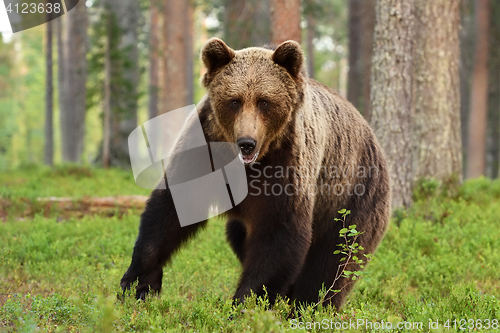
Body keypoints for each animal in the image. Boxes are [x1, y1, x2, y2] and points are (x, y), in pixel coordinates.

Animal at [120, 37, 390, 310]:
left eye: (264, 101)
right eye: (234, 101)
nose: (247, 143)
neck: (246, 163)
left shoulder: (286, 164)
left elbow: (280, 233)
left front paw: (245, 304)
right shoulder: (204, 146)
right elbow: (172, 209)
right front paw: (137, 285)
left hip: (351, 196)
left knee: (333, 260)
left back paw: (308, 306)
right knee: (239, 235)